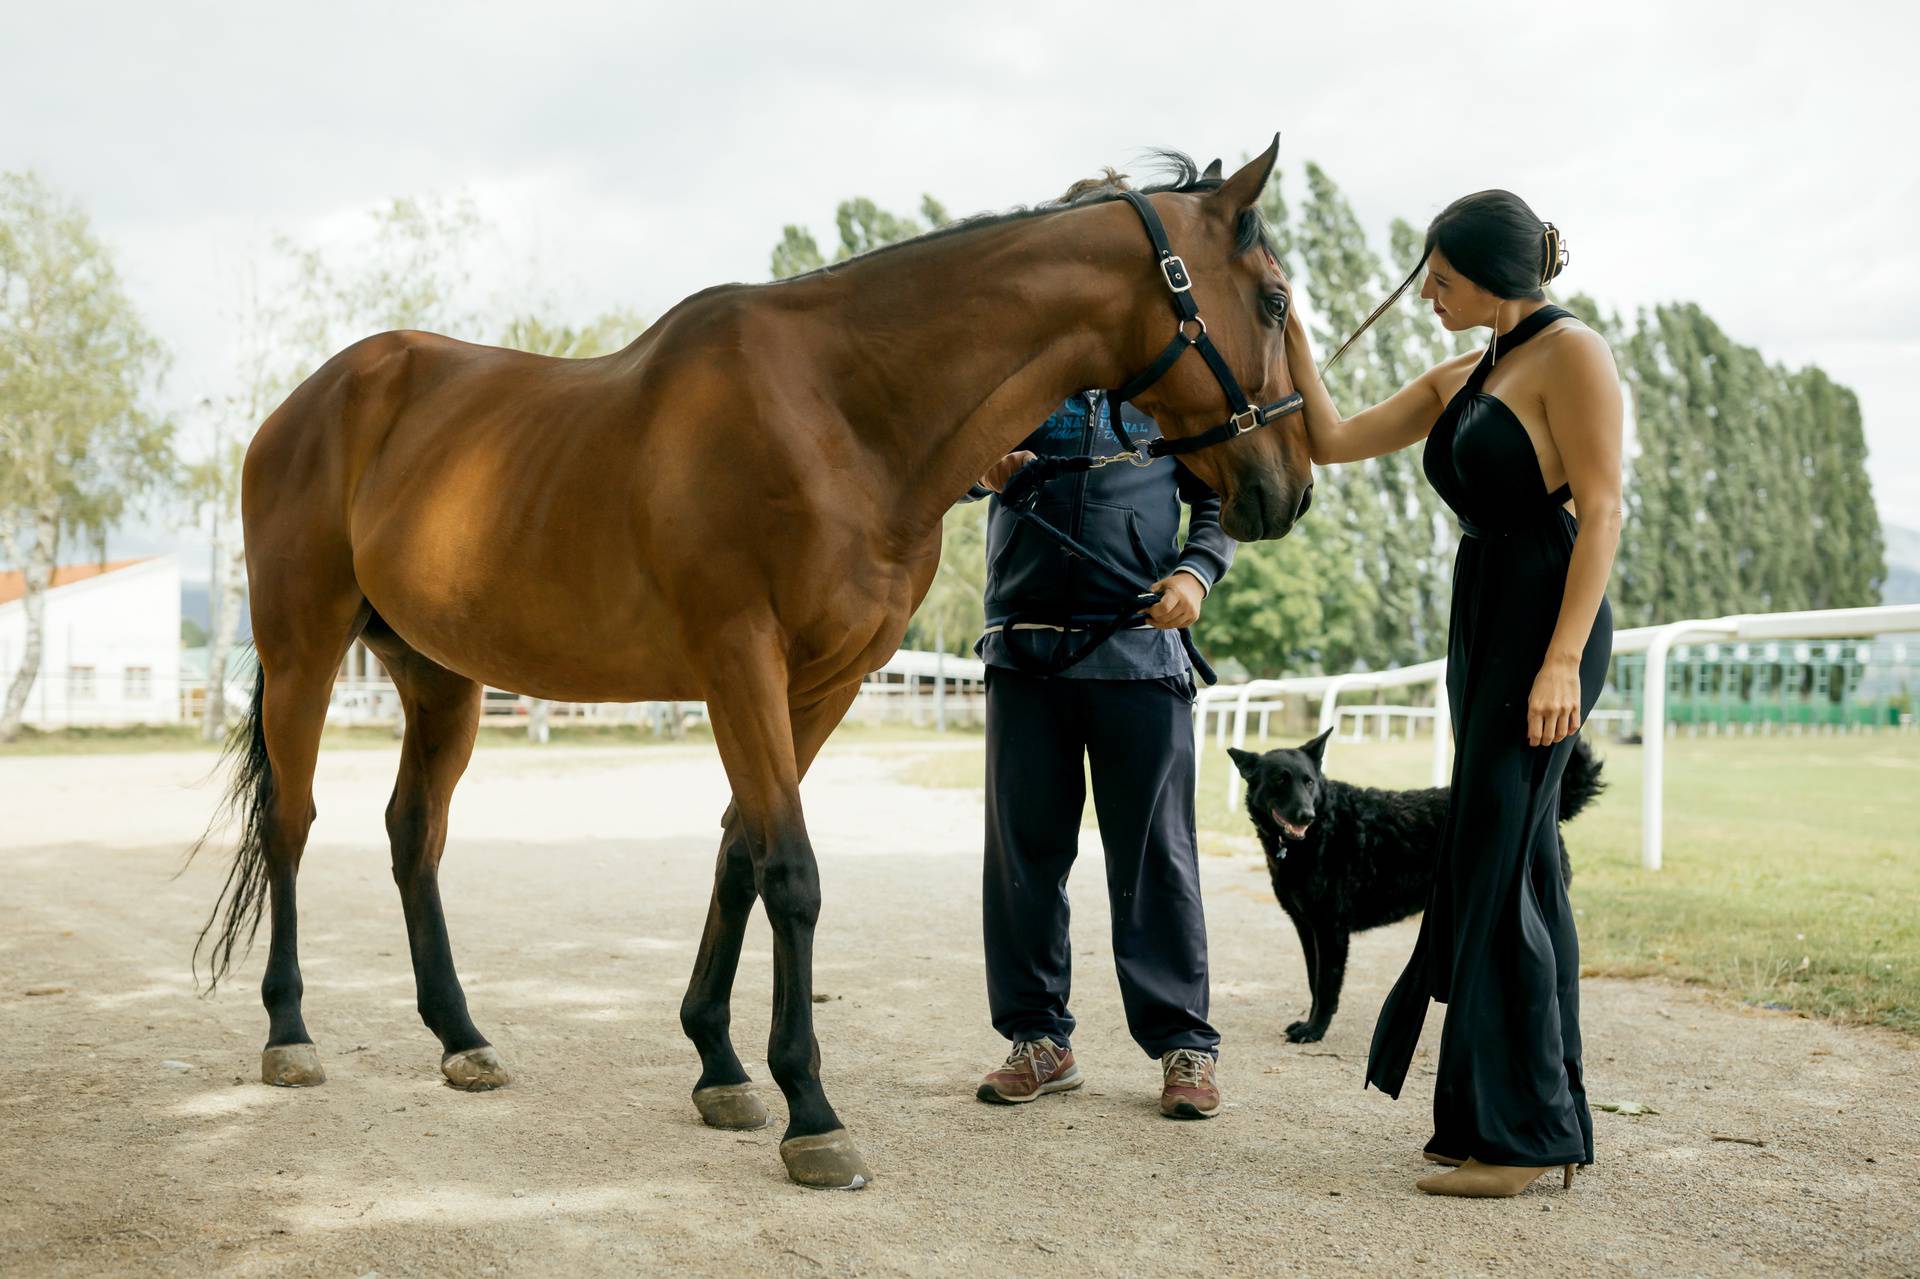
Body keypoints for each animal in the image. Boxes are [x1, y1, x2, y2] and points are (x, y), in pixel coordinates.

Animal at [191, 137, 1305, 1182]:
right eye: (1274, 298)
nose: (1284, 487)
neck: (838, 409)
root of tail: (315, 398)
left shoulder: (823, 685)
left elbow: (738, 851)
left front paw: (720, 1067)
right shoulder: (740, 662)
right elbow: (791, 870)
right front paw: (811, 1111)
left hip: (439, 678)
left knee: (412, 832)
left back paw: (462, 1037)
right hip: (306, 651)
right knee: (291, 822)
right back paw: (290, 1032)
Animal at [1228, 725, 1605, 1037]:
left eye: (1308, 781)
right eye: (1280, 780)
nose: (1306, 815)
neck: (1321, 831)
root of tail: (1545, 816)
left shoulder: (1331, 930)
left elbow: (1325, 987)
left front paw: (1315, 1030)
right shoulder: (1307, 928)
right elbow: (1313, 981)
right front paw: (1310, 1024)